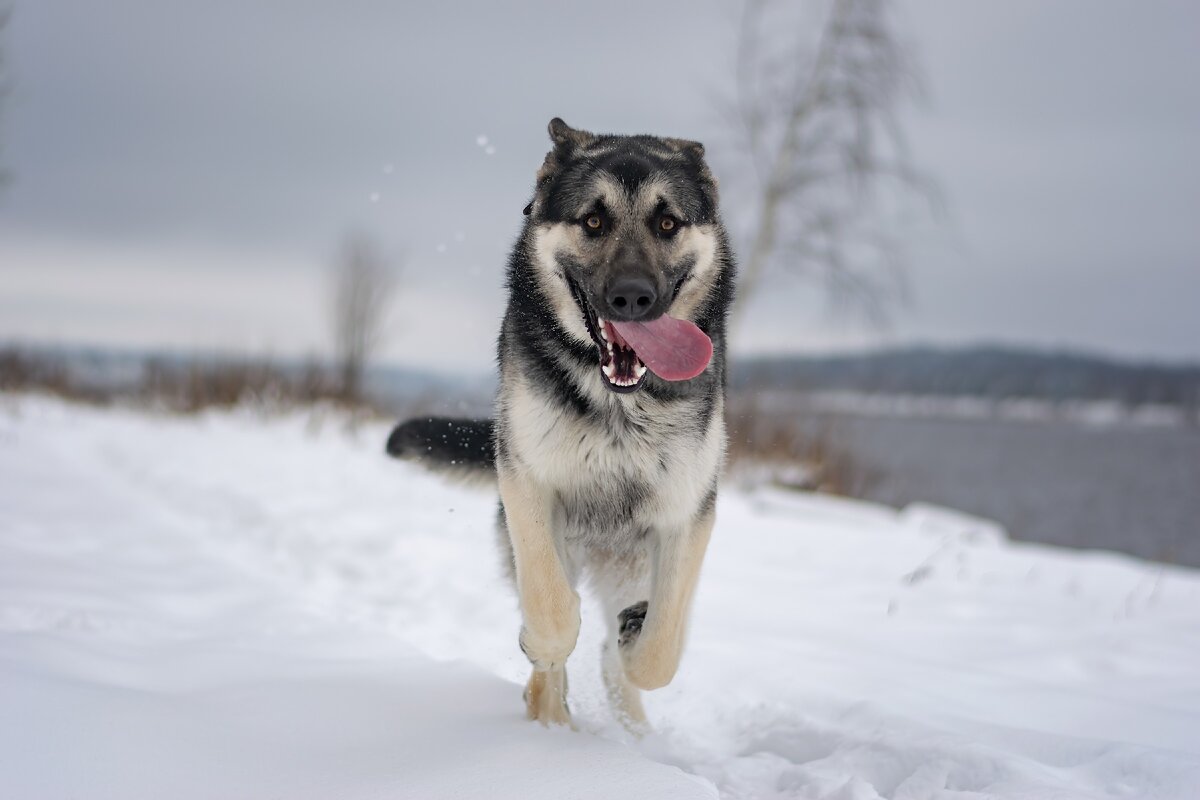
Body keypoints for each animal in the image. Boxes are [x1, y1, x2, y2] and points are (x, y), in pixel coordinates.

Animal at [388, 120, 734, 734]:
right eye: (592, 221)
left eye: (667, 223)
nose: (632, 297)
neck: (620, 405)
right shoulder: (526, 480)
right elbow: (550, 612)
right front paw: (542, 657)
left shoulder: (687, 513)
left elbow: (660, 652)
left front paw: (637, 639)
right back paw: (550, 716)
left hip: (632, 564)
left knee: (615, 654)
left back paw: (631, 725)